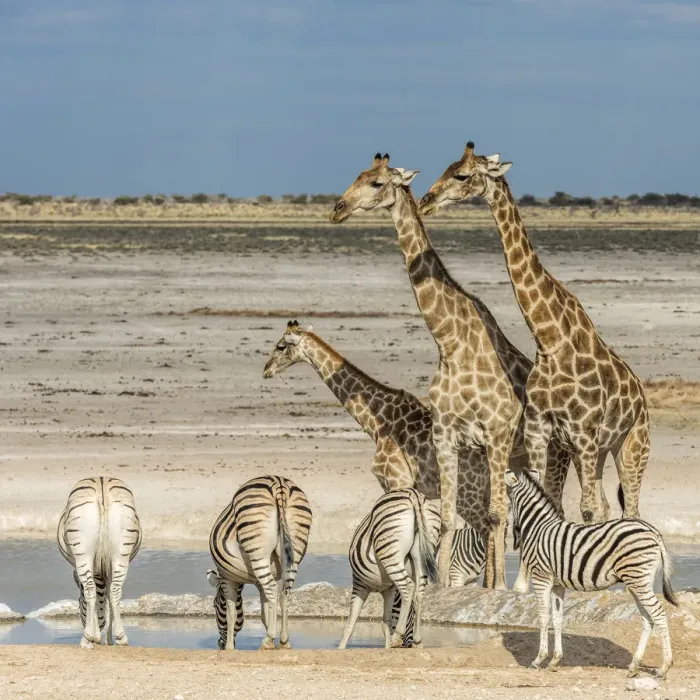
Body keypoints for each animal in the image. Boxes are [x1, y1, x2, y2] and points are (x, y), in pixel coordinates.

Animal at [57, 477, 142, 648]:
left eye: (78, 603)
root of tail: (102, 483)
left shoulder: (96, 567)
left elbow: (96, 598)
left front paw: (95, 636)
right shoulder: (106, 568)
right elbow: (108, 599)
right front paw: (108, 639)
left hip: (83, 555)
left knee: (90, 589)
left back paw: (87, 638)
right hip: (121, 555)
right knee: (115, 591)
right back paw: (121, 637)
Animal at [209, 474, 312, 650]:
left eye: (215, 606)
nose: (220, 645)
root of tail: (279, 484)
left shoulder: (226, 578)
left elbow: (231, 613)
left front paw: (229, 648)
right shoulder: (258, 582)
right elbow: (265, 612)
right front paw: (271, 633)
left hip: (258, 551)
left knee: (272, 587)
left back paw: (268, 640)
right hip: (294, 552)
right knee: (285, 593)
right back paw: (283, 641)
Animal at [329, 154, 571, 589]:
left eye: (376, 183)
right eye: (358, 175)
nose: (338, 209)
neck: (451, 343)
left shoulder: (495, 434)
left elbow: (496, 515)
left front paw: (498, 590)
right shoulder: (447, 436)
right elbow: (446, 520)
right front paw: (443, 585)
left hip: (549, 455)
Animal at [419, 141, 649, 526]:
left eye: (461, 175)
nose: (426, 200)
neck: (550, 340)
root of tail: (642, 396)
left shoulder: (583, 434)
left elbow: (584, 509)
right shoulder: (542, 432)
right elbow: (550, 502)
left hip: (631, 445)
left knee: (629, 509)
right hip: (600, 450)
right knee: (606, 506)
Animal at [505, 468, 677, 678]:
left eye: (509, 500)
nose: (510, 529)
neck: (538, 528)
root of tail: (653, 532)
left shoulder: (541, 577)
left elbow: (543, 616)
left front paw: (539, 659)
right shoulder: (557, 584)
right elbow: (557, 619)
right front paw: (555, 660)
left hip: (638, 579)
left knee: (658, 613)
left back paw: (664, 667)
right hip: (640, 580)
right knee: (648, 618)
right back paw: (634, 666)